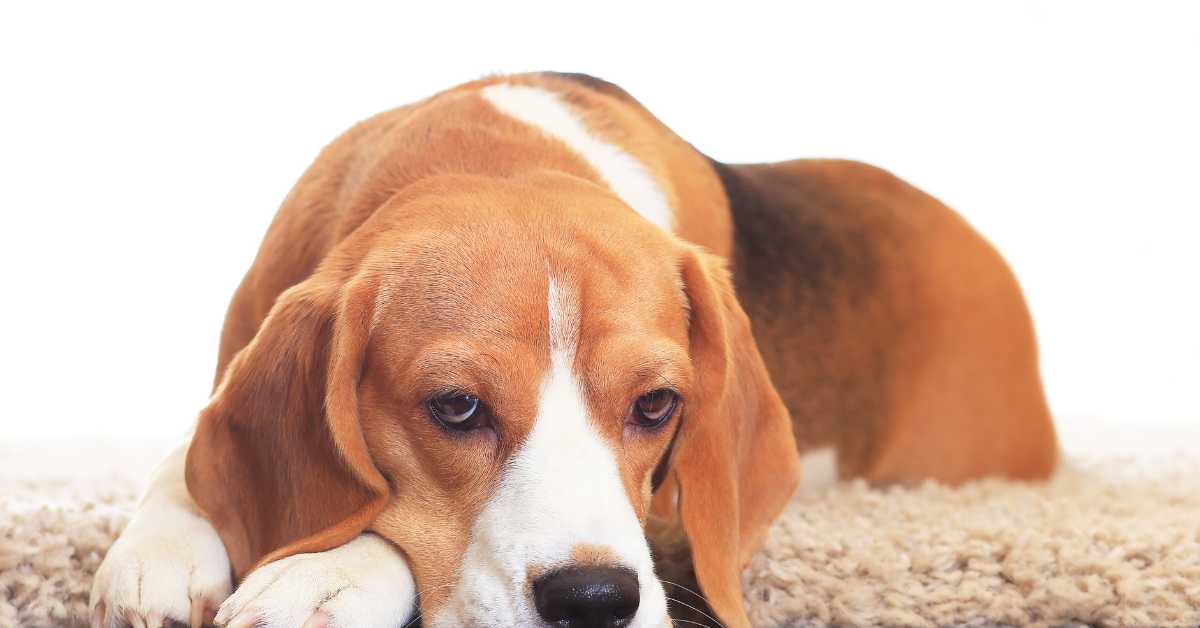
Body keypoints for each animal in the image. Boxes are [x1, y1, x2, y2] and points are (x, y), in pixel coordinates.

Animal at [88, 72, 1056, 628]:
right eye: (456, 407)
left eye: (658, 405)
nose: (595, 604)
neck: (498, 157)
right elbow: (192, 451)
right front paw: (167, 546)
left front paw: (326, 575)